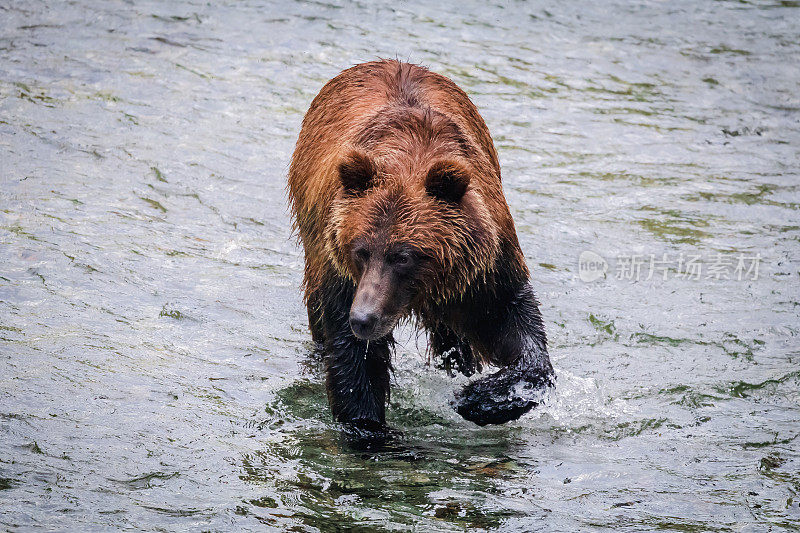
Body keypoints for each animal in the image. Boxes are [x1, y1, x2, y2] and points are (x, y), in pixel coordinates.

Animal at [290, 60, 556, 428]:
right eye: (360, 251)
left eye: (403, 257)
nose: (363, 318)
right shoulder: (341, 272)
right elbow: (355, 361)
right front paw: (368, 427)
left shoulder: (483, 269)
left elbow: (514, 324)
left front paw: (477, 399)